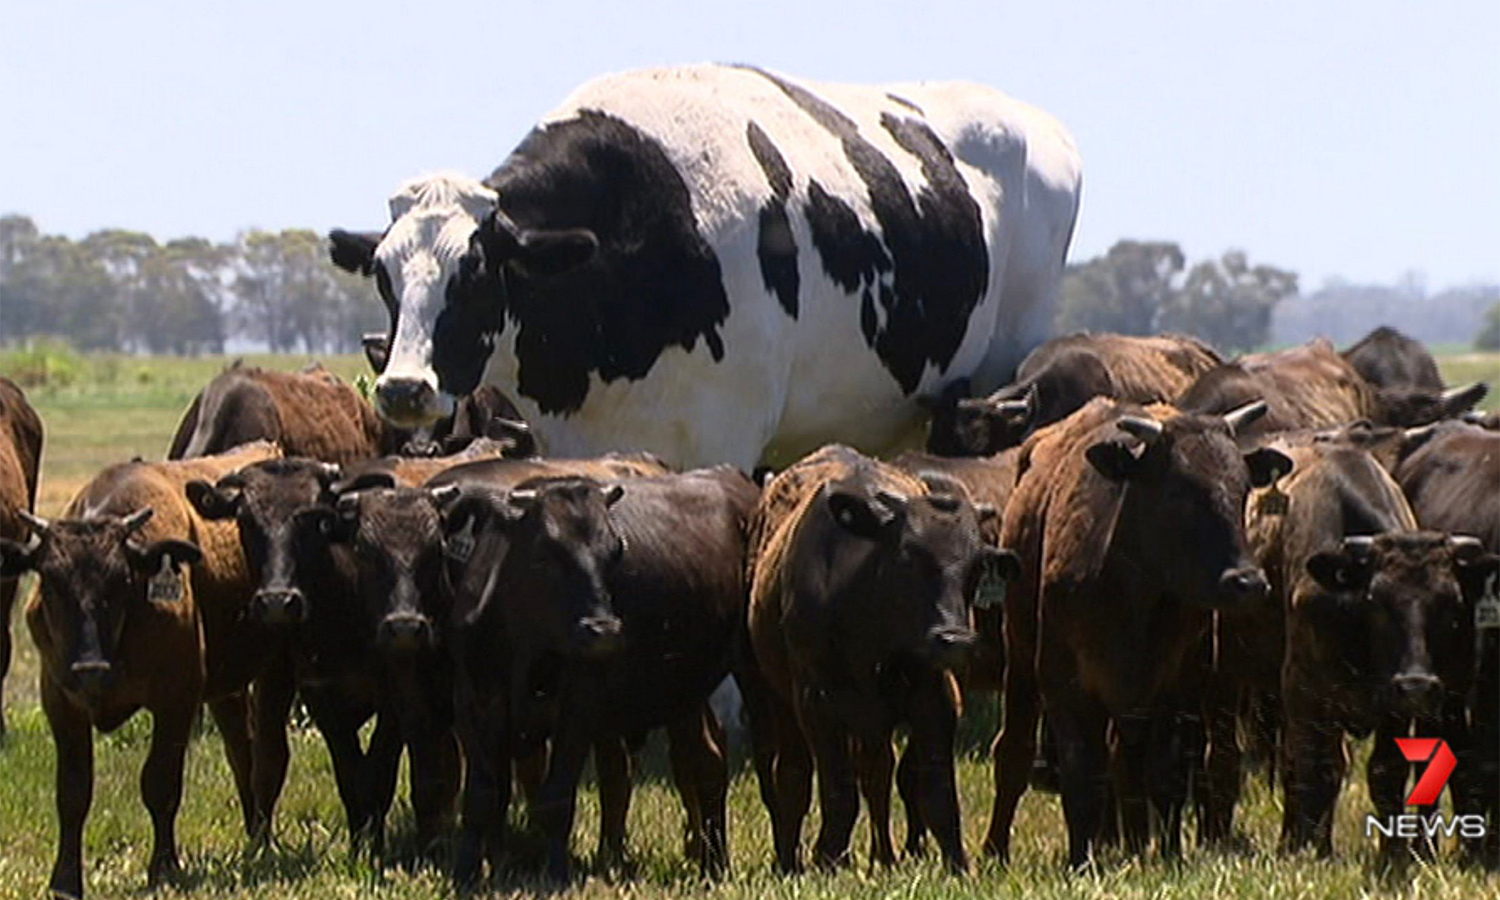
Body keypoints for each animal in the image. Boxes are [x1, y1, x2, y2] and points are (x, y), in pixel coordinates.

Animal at [0, 442, 284, 899]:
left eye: (121, 579)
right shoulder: (61, 702)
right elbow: (72, 793)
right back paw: (254, 835)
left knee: (267, 756)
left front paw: (164, 867)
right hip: (228, 689)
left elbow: (160, 783)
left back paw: (264, 842)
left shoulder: (176, 700)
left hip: (274, 668)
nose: (90, 667)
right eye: (51, 580)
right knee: (242, 750)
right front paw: (65, 880)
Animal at [439, 467, 758, 882]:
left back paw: (716, 863)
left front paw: (556, 873)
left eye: (616, 551)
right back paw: (710, 861)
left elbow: (556, 798)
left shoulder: (579, 705)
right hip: (684, 693)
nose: (603, 630)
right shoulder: (472, 699)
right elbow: (481, 794)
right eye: (544, 553)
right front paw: (467, 870)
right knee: (706, 759)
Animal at [745, 444, 1019, 874]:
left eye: (976, 568)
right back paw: (790, 860)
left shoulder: (934, 696)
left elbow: (937, 792)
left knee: (876, 773)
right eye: (907, 556)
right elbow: (838, 792)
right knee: (793, 776)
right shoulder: (816, 702)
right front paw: (827, 858)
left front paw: (957, 864)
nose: (954, 638)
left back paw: (883, 857)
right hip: (780, 700)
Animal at [983, 399, 1289, 868]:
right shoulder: (1064, 683)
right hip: (1019, 657)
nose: (1248, 582)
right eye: (1179, 493)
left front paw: (1168, 854)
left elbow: (1163, 772)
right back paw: (997, 849)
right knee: (1014, 753)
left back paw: (1130, 843)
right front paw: (1080, 859)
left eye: (1242, 491)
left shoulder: (1173, 688)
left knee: (1127, 764)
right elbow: (1081, 771)